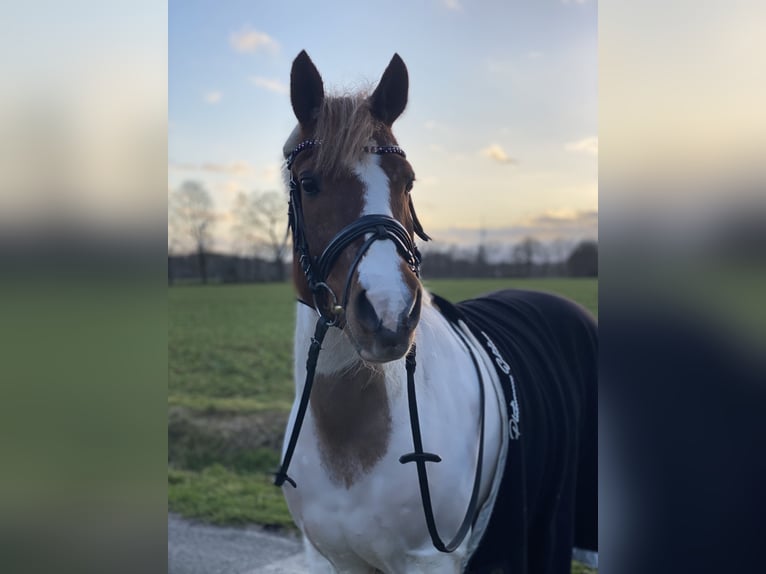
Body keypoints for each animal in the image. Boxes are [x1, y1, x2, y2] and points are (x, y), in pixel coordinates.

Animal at [276, 51, 600, 572]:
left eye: (407, 181)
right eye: (309, 183)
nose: (388, 312)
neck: (351, 442)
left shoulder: (429, 560)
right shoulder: (344, 562)